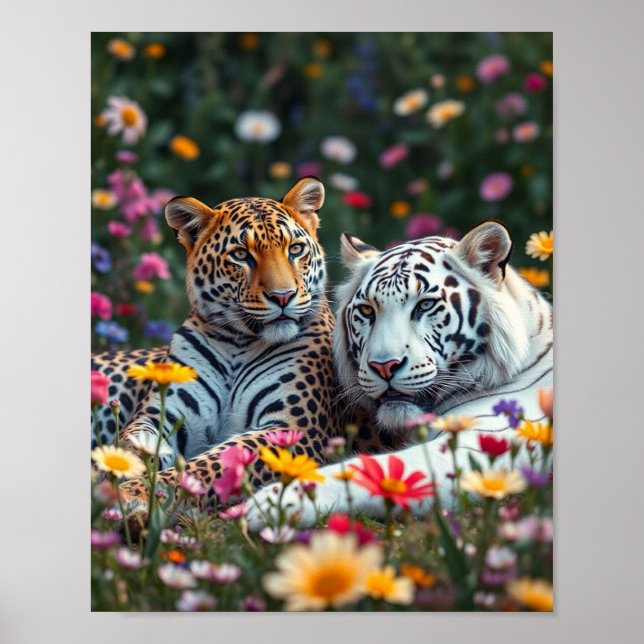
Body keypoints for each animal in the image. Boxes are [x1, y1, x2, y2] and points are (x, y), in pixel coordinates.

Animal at [91, 178, 393, 509]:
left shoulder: (292, 430)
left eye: (295, 249)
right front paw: (111, 469)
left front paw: (135, 492)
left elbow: (209, 465)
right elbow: (130, 441)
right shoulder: (161, 413)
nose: (283, 296)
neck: (237, 344)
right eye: (240, 255)